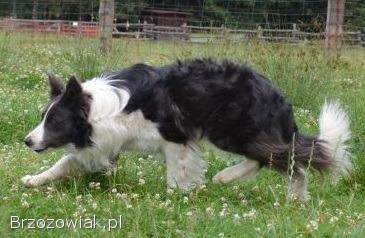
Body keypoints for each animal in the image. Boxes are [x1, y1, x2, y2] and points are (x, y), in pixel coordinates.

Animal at [22, 59, 350, 201]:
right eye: (42, 117)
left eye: (55, 121)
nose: (27, 140)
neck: (97, 110)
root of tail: (277, 94)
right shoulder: (106, 143)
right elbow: (65, 162)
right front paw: (34, 180)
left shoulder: (176, 139)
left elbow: (177, 173)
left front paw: (175, 199)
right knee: (278, 159)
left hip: (232, 131)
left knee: (285, 159)